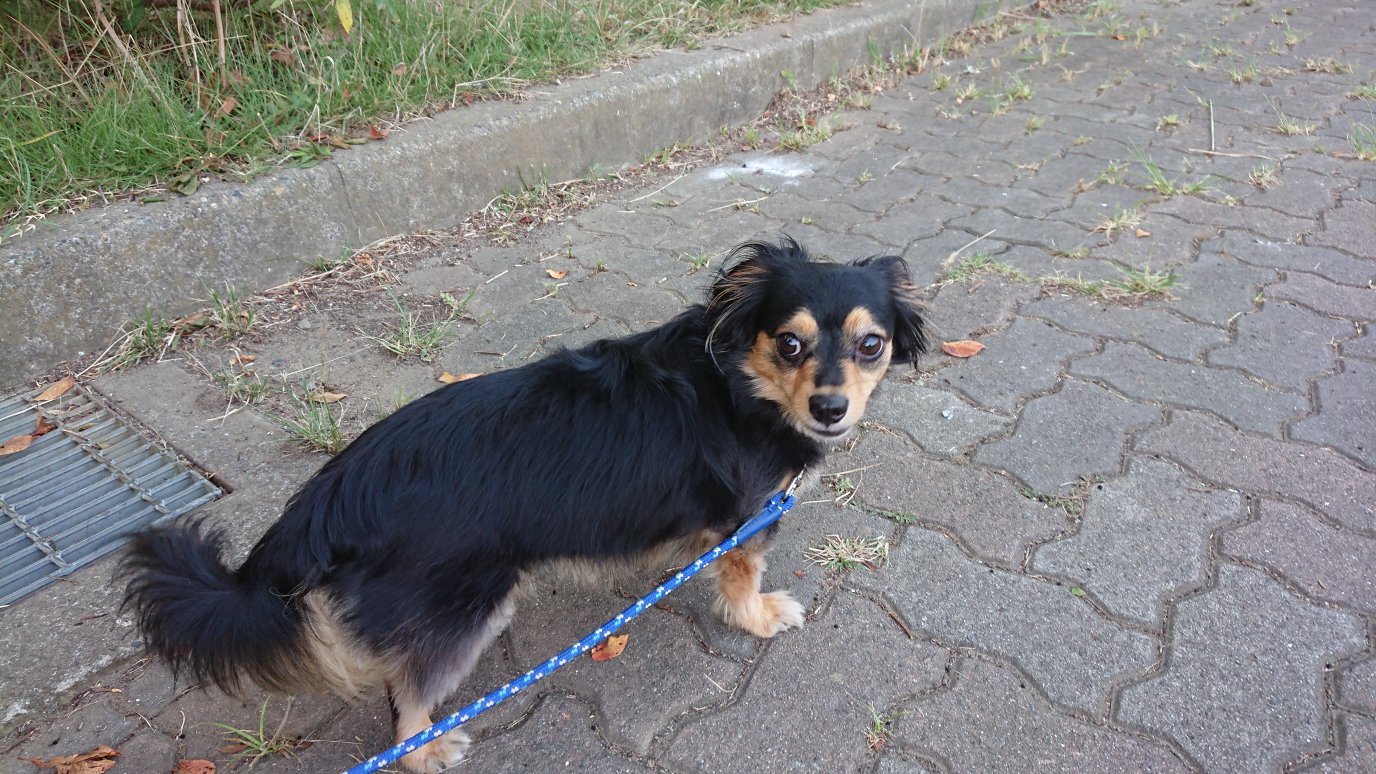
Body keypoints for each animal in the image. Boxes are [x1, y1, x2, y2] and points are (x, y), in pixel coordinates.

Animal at [122, 238, 926, 772]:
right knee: (404, 704)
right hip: (463, 610)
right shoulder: (748, 518)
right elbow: (743, 578)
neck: (738, 382)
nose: (830, 409)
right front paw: (757, 617)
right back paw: (429, 749)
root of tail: (329, 496)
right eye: (789, 343)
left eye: (872, 344)